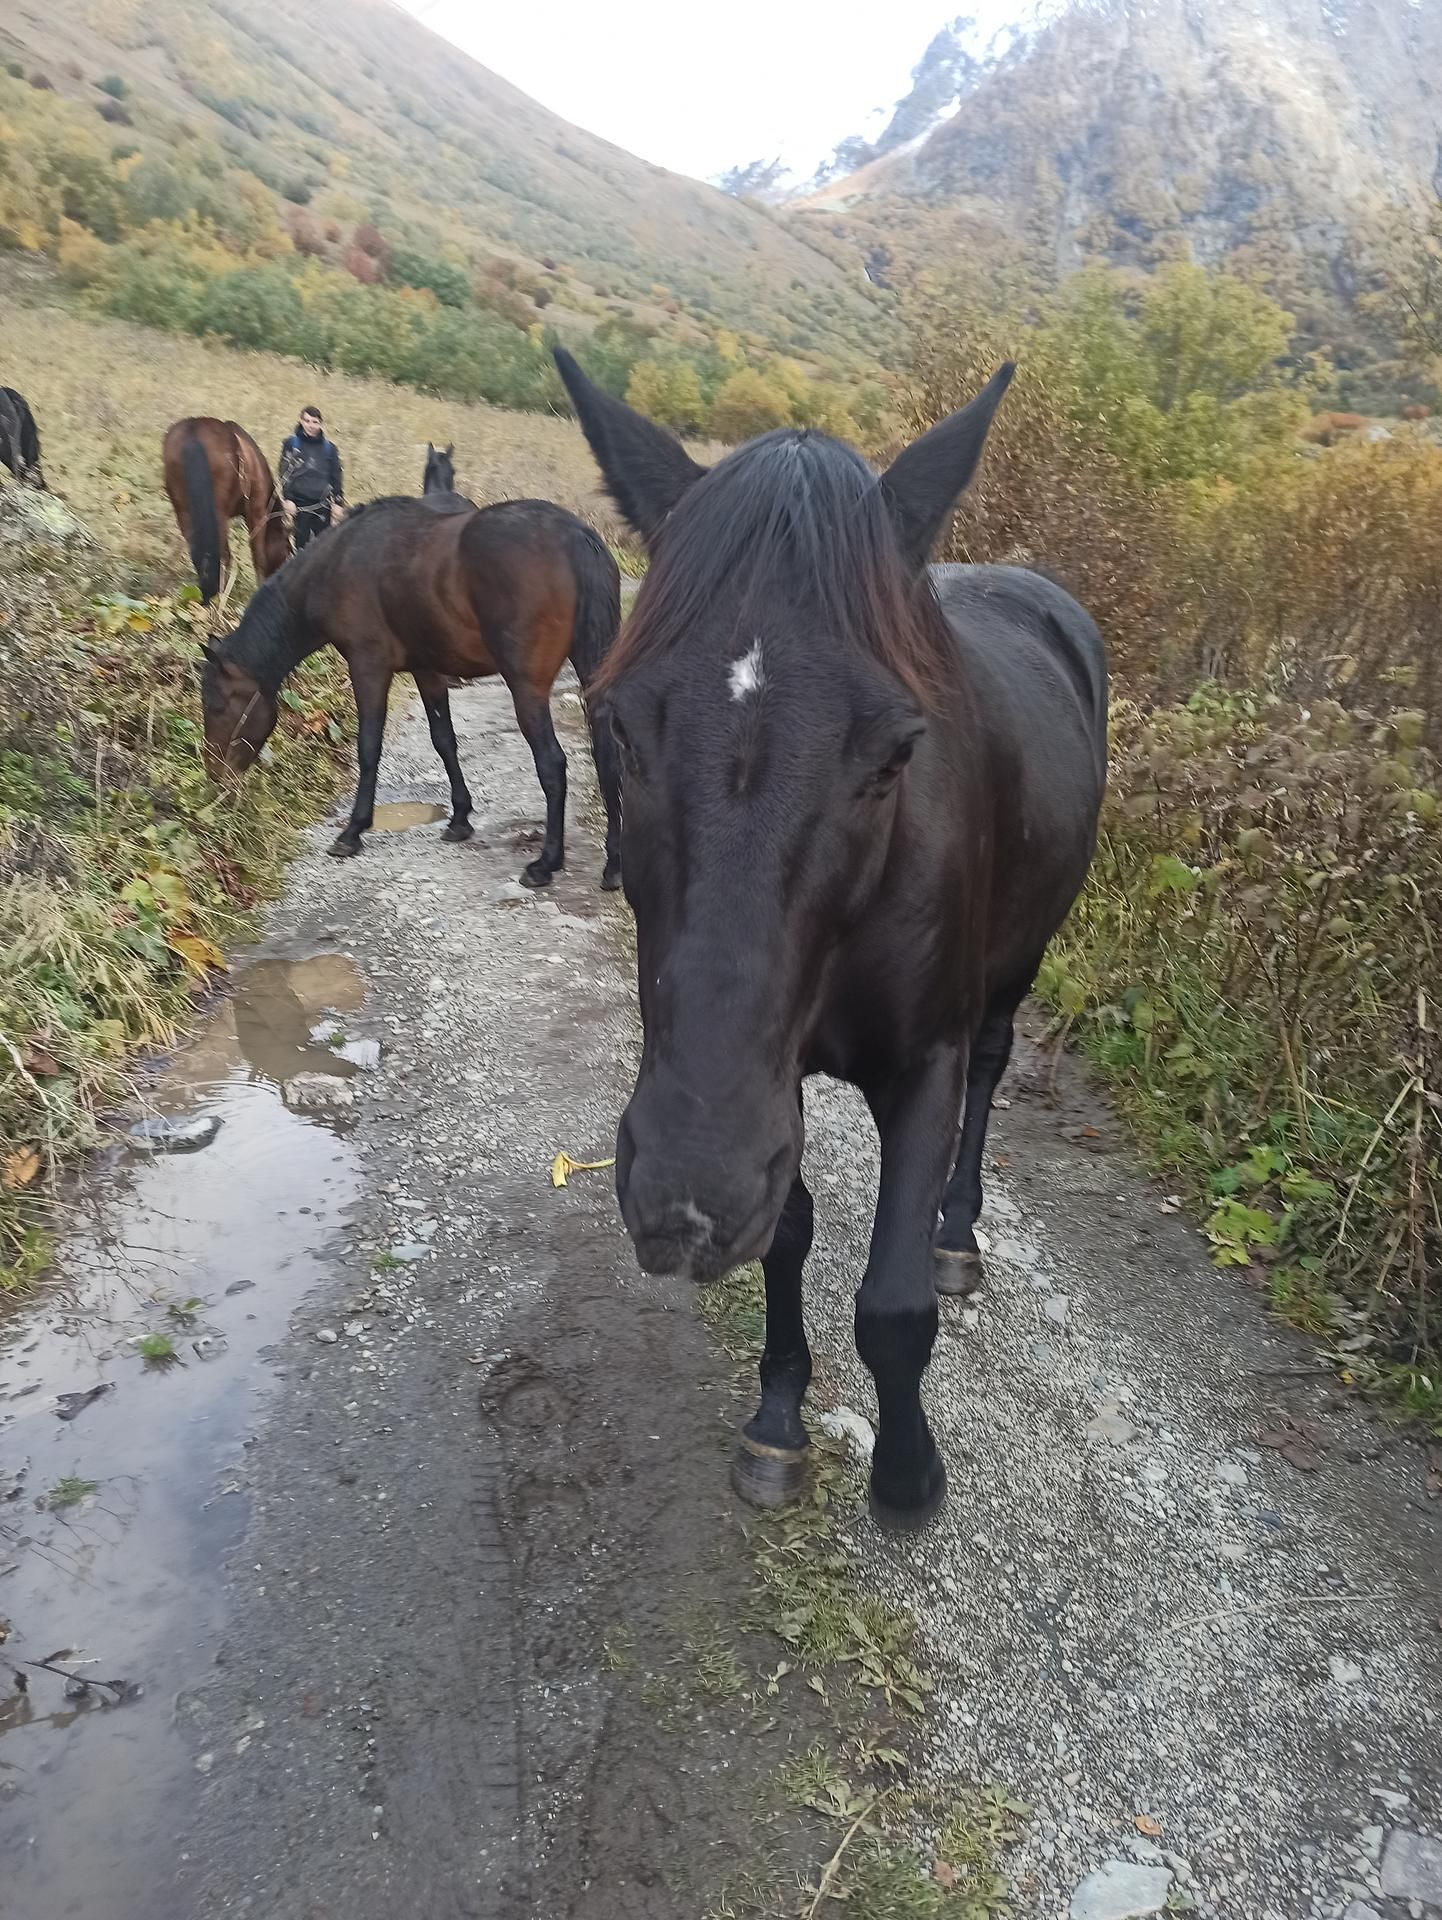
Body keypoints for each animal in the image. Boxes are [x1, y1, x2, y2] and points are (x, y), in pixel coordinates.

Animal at [163, 416, 289, 602]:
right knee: (223, 556)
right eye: (287, 552)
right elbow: (259, 556)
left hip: (183, 510)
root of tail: (194, 433)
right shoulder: (257, 511)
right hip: (218, 513)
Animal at [200, 491, 622, 887]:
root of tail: (573, 535)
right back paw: (613, 866)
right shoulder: (427, 670)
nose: (216, 777)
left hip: (526, 689)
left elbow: (369, 747)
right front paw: (459, 818)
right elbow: (444, 741)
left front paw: (353, 830)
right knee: (608, 756)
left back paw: (546, 862)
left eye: (218, 705)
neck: (338, 562)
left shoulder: (368, 667)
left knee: (552, 764)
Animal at [556, 353, 1113, 1528]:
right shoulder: (767, 1085)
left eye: (897, 752)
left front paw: (907, 1474)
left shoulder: (920, 1062)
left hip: (1018, 964)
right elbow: (788, 1229)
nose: (684, 1200)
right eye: (616, 727)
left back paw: (958, 1234)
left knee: (992, 1069)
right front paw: (778, 1418)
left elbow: (892, 1304)